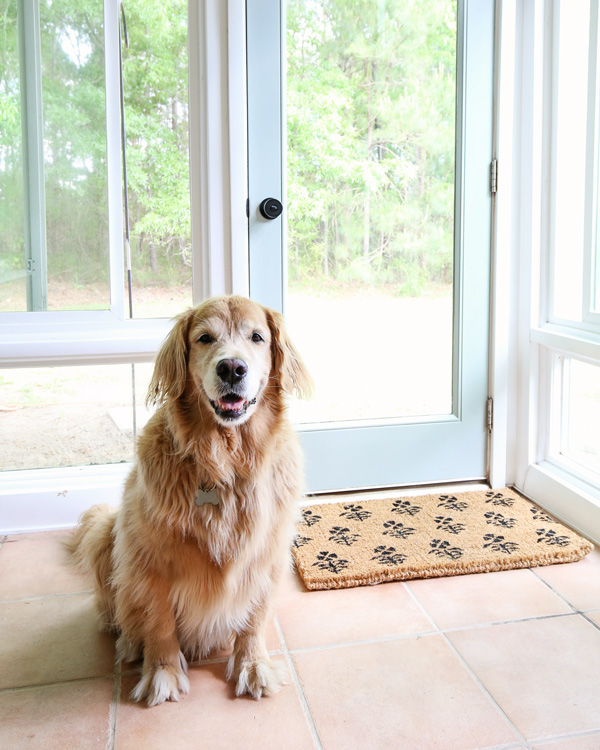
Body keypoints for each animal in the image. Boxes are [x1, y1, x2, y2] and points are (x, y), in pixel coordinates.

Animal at [67, 296, 312, 708]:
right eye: (204, 338)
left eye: (257, 337)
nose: (232, 367)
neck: (223, 462)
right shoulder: (150, 560)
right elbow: (160, 622)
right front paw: (162, 671)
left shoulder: (267, 555)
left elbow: (255, 618)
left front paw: (253, 664)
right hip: (106, 530)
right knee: (115, 612)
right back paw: (131, 642)